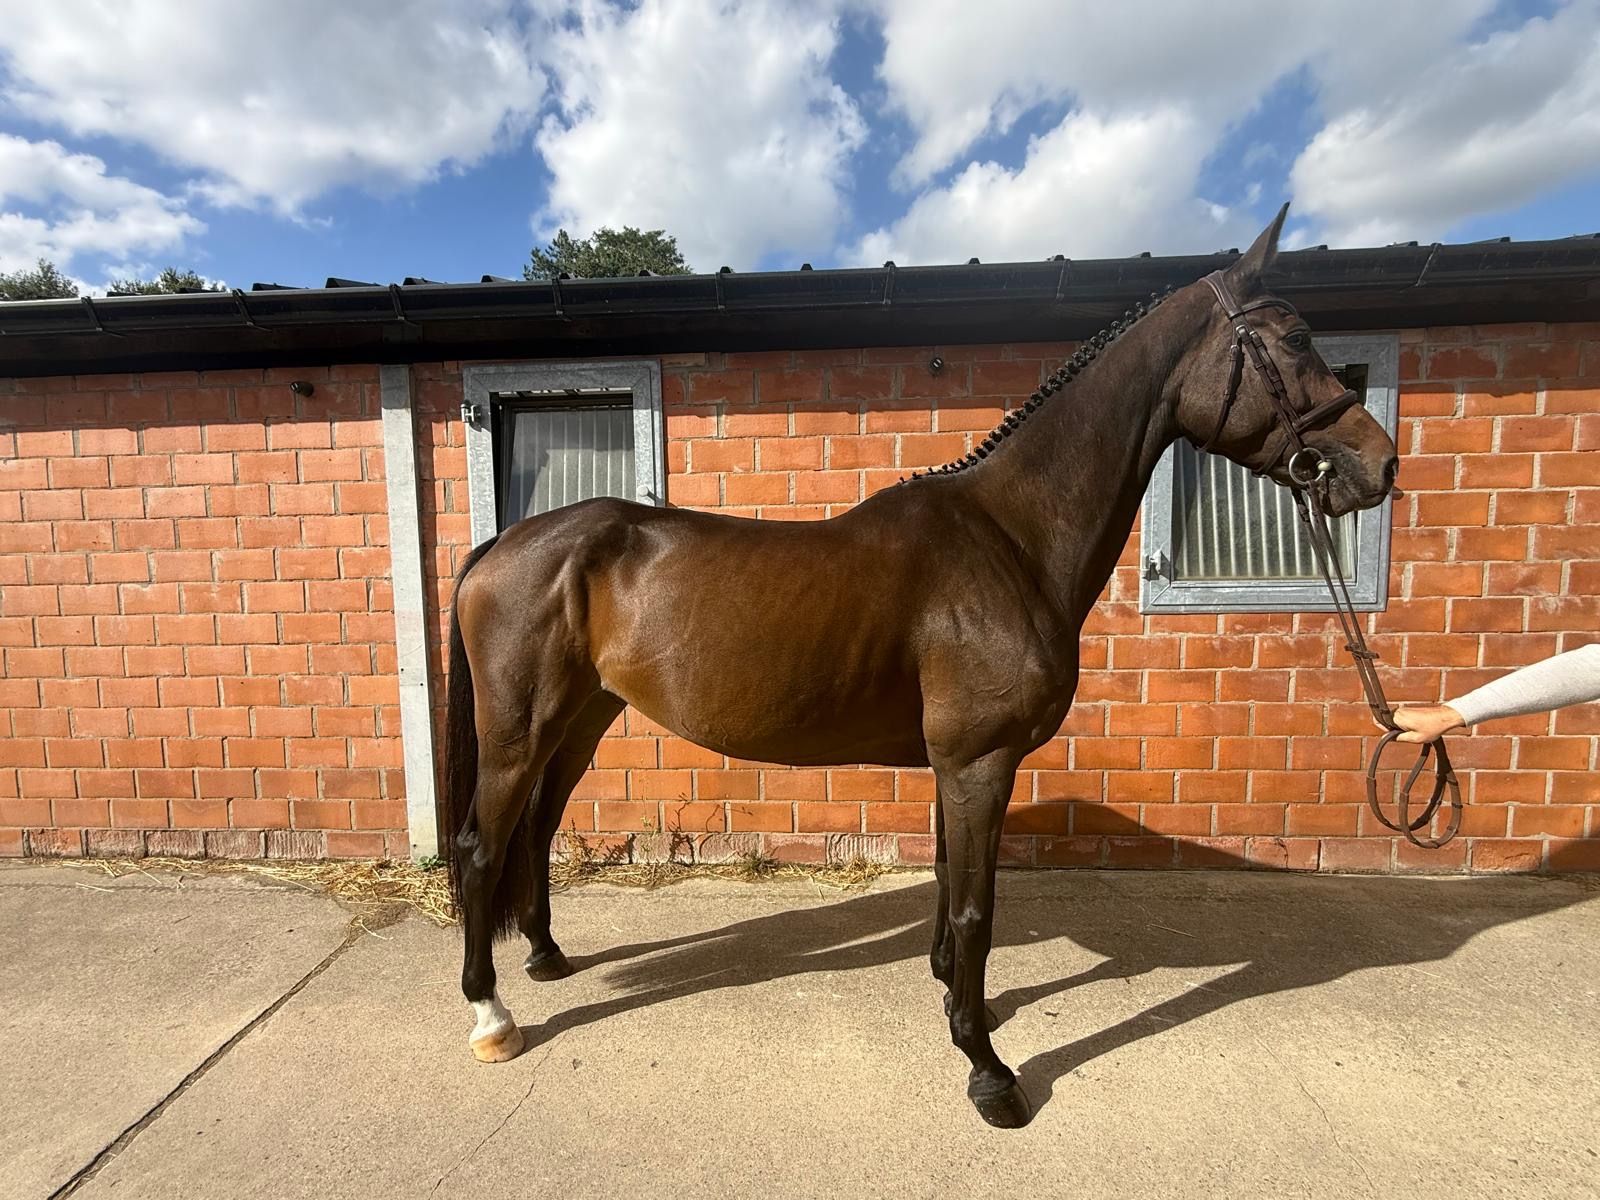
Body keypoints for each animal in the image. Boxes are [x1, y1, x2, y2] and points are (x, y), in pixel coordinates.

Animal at [441, 205, 1399, 1128]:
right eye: (1292, 340)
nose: (1380, 465)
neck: (1010, 539)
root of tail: (501, 545)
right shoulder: (980, 760)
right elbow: (976, 910)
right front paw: (988, 1071)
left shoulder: (955, 764)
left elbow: (947, 889)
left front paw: (953, 1002)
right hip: (519, 729)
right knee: (483, 846)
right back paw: (490, 1016)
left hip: (581, 718)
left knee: (535, 828)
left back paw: (547, 957)